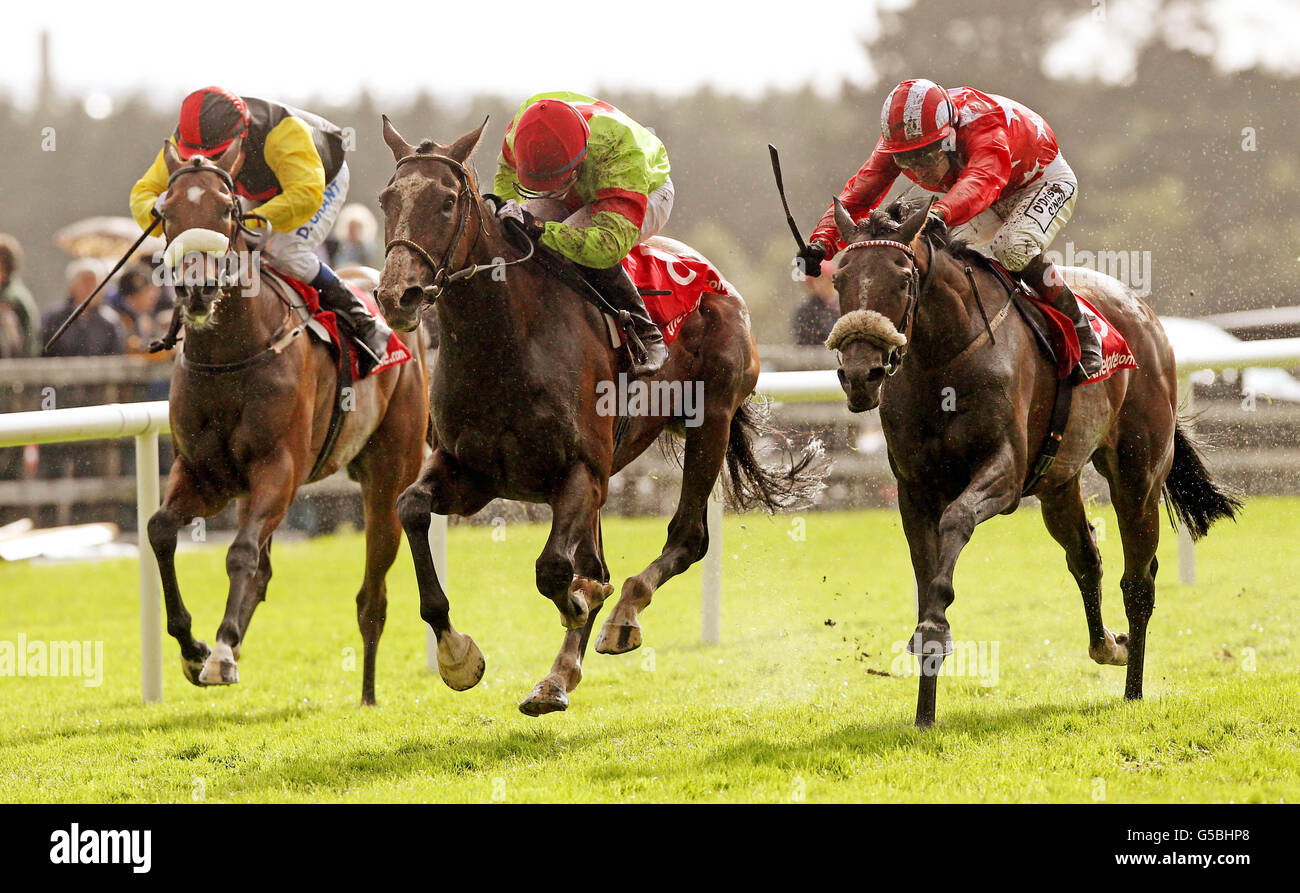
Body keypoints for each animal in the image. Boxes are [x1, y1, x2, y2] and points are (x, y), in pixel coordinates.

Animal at [143, 141, 426, 707]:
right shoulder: (205, 473)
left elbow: (241, 553)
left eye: (226, 211)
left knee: (373, 592)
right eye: (165, 213)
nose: (198, 290)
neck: (232, 354)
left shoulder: (279, 467)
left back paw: (367, 693)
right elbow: (161, 529)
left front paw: (221, 652)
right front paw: (194, 648)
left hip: (389, 475)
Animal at [377, 118, 821, 717]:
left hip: (710, 420)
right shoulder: (470, 474)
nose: (396, 295)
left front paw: (584, 601)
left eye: (447, 202)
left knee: (686, 538)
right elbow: (412, 507)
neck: (506, 342)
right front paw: (456, 655)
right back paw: (560, 671)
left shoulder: (583, 471)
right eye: (387, 199)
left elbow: (556, 572)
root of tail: (718, 282)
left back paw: (618, 618)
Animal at [826, 197, 1242, 727]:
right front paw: (924, 711)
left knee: (1138, 582)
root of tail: (1144, 313)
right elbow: (926, 572)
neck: (943, 361)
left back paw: (1133, 688)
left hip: (1138, 475)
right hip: (1057, 486)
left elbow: (957, 521)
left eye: (902, 279)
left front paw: (936, 627)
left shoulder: (1004, 473)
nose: (861, 374)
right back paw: (1110, 645)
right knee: (1086, 559)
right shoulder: (914, 490)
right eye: (839, 279)